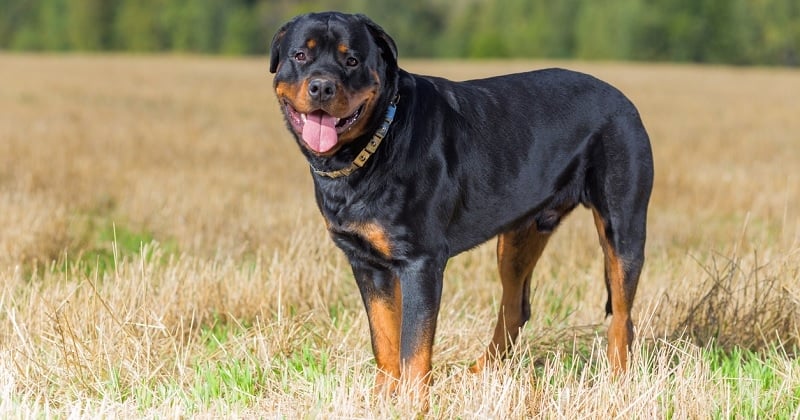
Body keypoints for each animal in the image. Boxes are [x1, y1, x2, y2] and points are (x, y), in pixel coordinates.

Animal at [268, 11, 648, 400]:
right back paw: (480, 373)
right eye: (300, 56)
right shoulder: (366, 263)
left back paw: (617, 384)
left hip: (623, 227)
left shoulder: (421, 261)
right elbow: (384, 338)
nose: (322, 87)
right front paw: (383, 398)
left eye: (352, 61)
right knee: (515, 307)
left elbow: (414, 347)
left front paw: (412, 402)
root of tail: (623, 100)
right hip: (517, 236)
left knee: (622, 316)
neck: (375, 144)